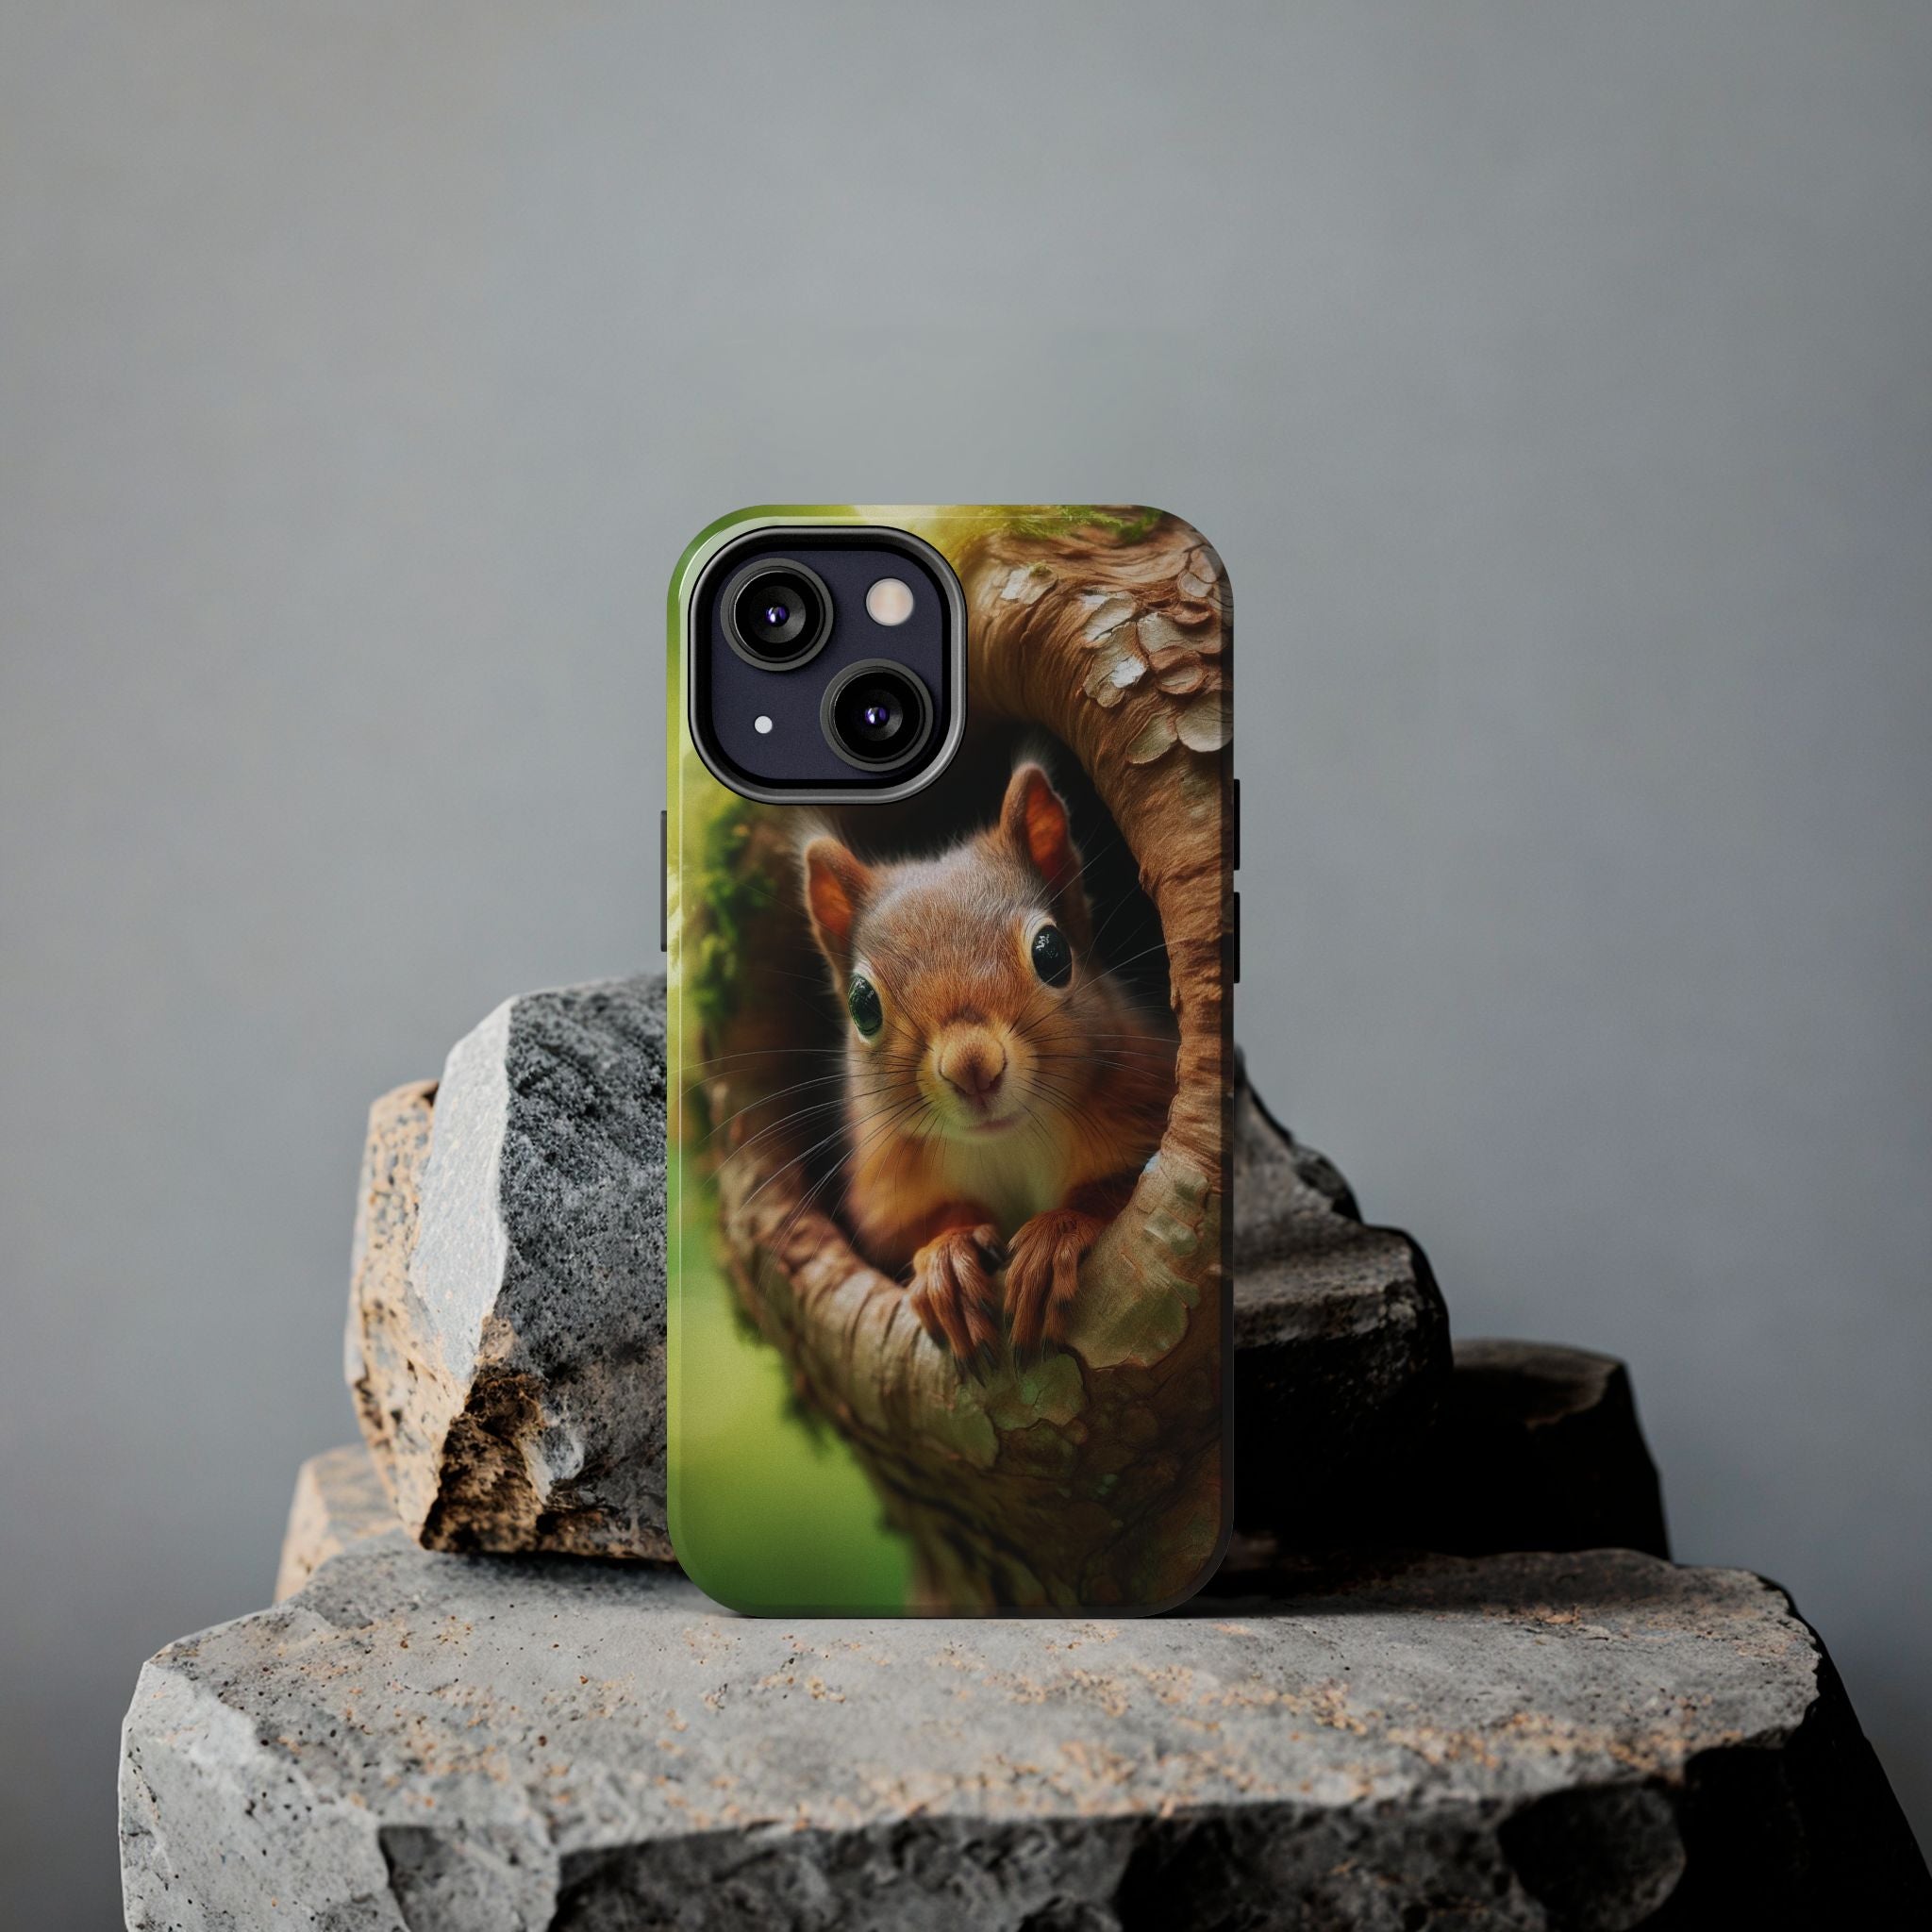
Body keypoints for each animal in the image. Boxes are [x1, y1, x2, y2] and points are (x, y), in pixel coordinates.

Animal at [800, 762, 1176, 1371]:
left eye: (1052, 952)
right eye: (862, 1004)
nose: (972, 1067)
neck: (1005, 1143)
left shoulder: (1143, 1097)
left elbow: (1115, 1190)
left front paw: (1054, 1236)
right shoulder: (886, 1187)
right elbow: (912, 1230)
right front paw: (947, 1259)